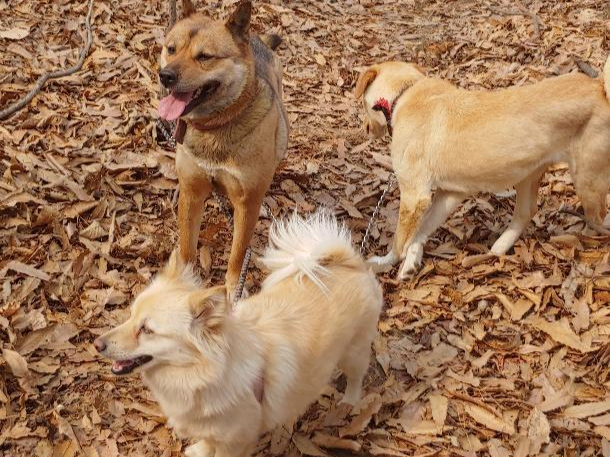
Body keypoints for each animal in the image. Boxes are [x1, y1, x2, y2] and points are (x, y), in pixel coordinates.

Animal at [94, 213, 380, 456]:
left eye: (147, 330)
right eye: (130, 316)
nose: (97, 344)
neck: (198, 374)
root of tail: (348, 263)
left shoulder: (235, 441)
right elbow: (207, 440)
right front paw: (200, 450)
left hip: (354, 352)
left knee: (356, 377)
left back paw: (349, 403)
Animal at [159, 0, 288, 296]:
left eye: (205, 57)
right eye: (171, 49)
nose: (165, 76)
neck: (215, 126)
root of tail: (256, 38)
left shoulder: (246, 204)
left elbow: (238, 253)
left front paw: (232, 287)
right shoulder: (191, 192)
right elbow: (187, 247)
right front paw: (184, 281)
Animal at [354, 57, 608, 278]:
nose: (365, 128)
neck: (405, 92)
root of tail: (600, 87)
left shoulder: (414, 196)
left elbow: (399, 241)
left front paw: (384, 262)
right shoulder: (449, 195)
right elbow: (421, 230)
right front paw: (412, 260)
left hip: (587, 184)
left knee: (599, 218)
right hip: (528, 175)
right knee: (526, 213)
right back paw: (499, 247)